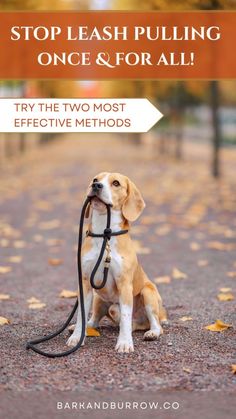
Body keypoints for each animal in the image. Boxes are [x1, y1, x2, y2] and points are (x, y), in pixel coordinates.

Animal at [66, 172, 166, 352]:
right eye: (95, 180)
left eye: (116, 183)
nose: (96, 186)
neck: (104, 235)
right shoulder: (85, 282)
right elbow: (81, 316)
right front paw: (77, 337)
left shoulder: (124, 284)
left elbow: (125, 316)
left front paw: (125, 342)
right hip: (99, 298)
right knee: (95, 320)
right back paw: (88, 327)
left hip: (148, 293)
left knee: (153, 324)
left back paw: (152, 332)